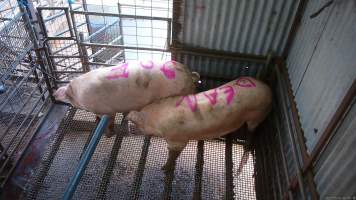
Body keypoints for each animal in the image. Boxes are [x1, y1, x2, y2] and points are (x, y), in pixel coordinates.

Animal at [54, 60, 202, 137]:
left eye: (67, 95)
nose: (54, 94)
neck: (79, 94)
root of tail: (189, 75)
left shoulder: (106, 110)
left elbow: (109, 120)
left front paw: (108, 134)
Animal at [127, 76, 272, 172]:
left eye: (138, 125)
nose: (129, 126)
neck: (156, 118)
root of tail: (268, 90)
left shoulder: (177, 138)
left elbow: (174, 153)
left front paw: (164, 168)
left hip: (257, 113)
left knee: (252, 131)